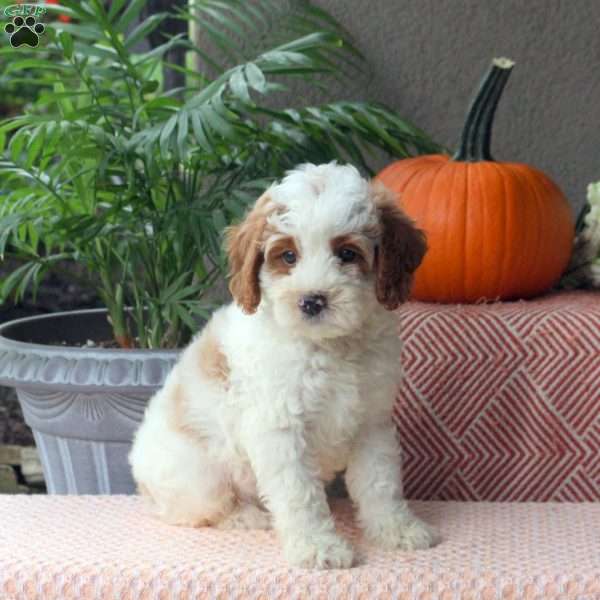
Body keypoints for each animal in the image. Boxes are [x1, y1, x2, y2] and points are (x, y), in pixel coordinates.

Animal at [127, 162, 436, 568]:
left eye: (347, 253)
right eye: (287, 256)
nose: (312, 301)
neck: (328, 347)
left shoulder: (372, 422)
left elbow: (380, 483)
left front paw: (397, 530)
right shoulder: (280, 429)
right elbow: (299, 495)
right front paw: (317, 546)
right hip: (198, 475)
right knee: (192, 511)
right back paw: (246, 516)